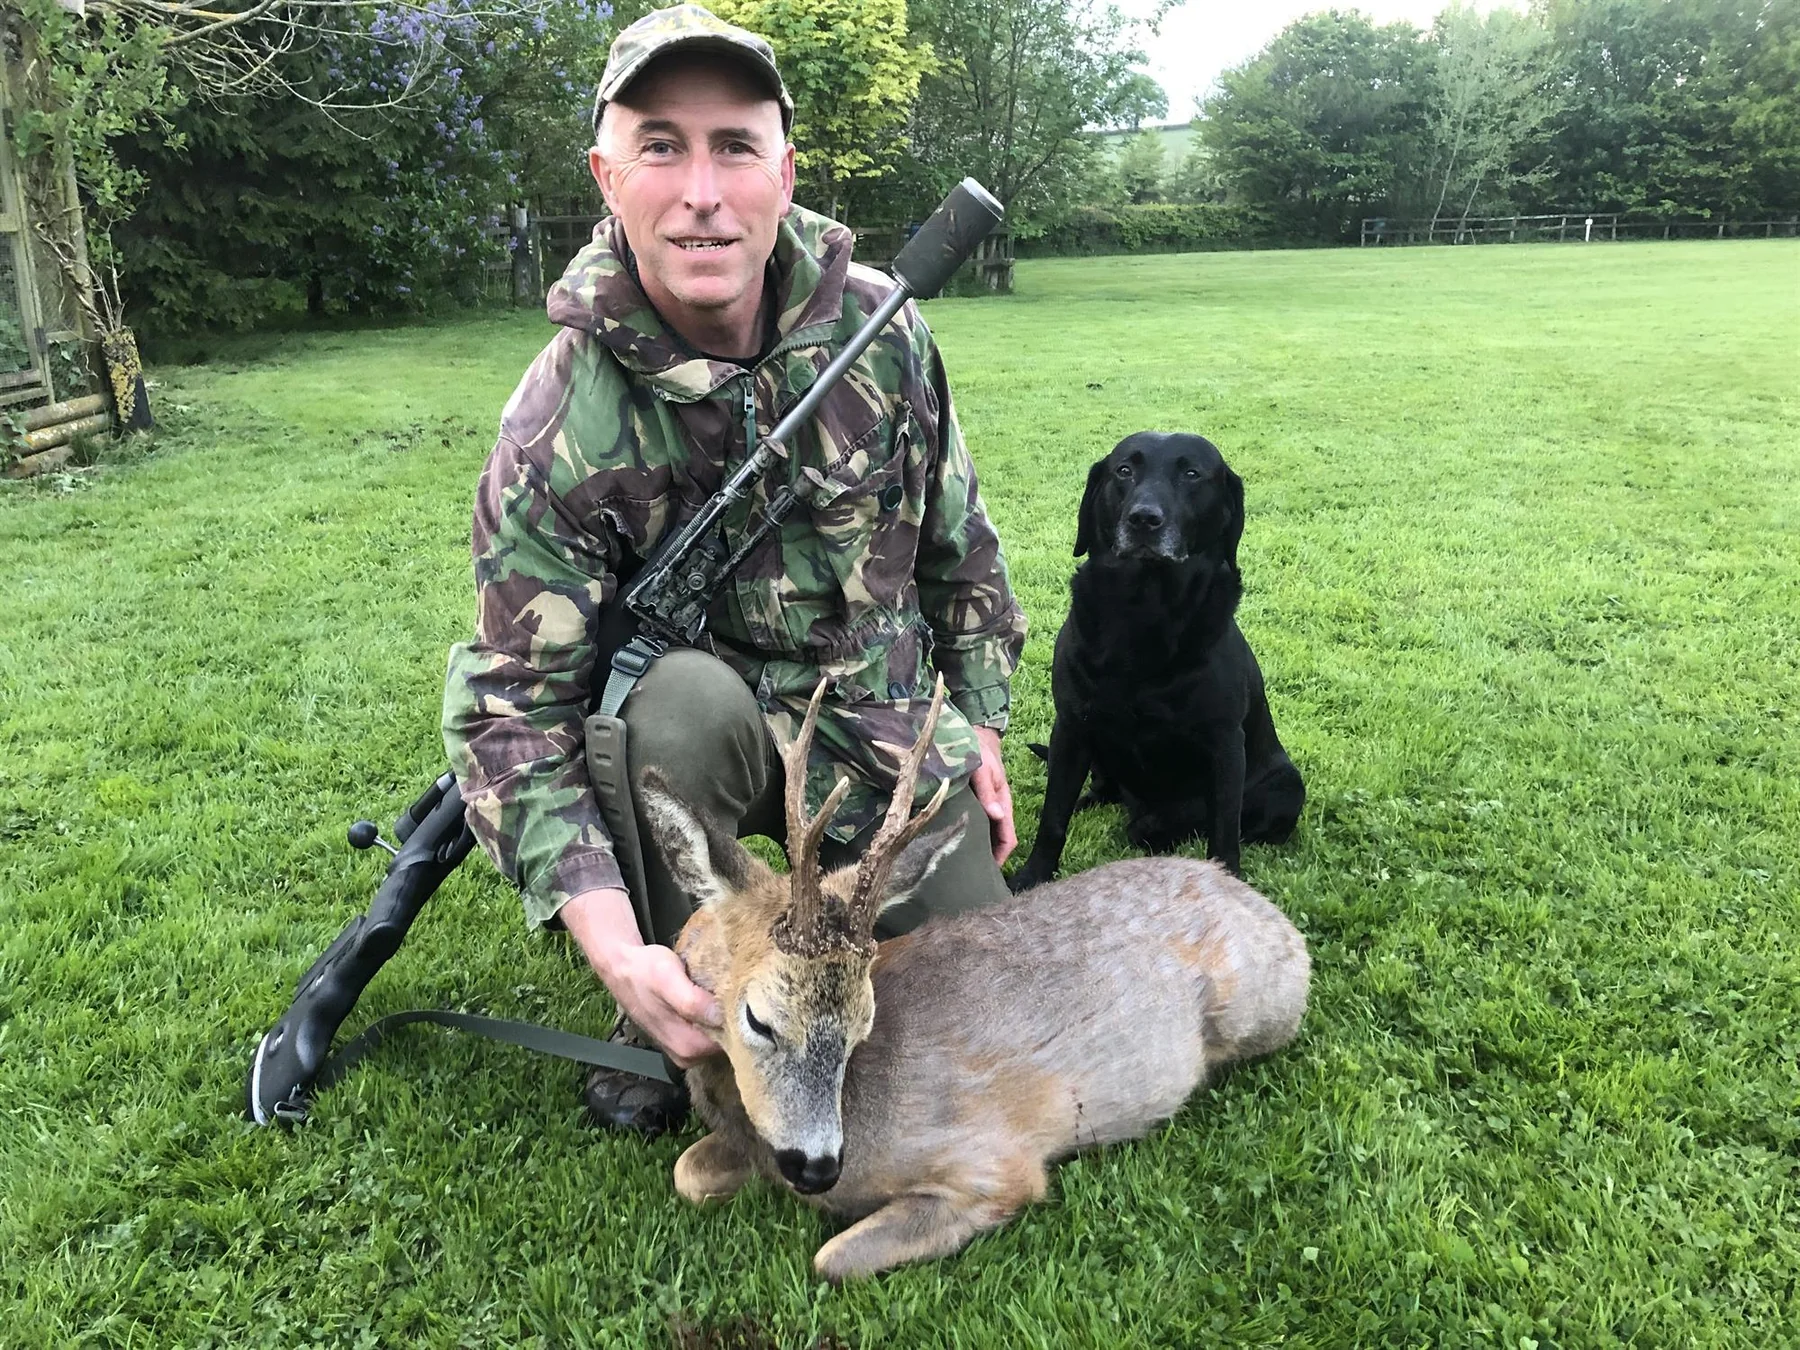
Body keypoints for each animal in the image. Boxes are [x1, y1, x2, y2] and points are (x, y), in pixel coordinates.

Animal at [635, 676, 1311, 1282]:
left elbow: (833, 1259)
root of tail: (1275, 918)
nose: (818, 1168)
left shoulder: (993, 1165)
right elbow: (686, 1172)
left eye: (862, 1027)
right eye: (759, 1019)